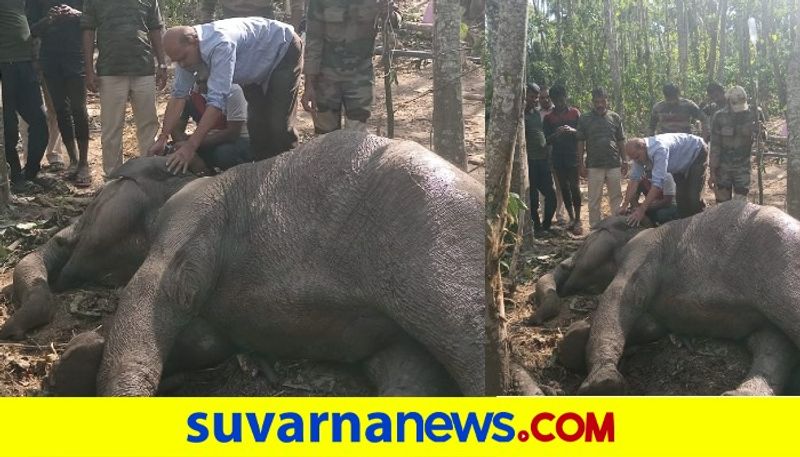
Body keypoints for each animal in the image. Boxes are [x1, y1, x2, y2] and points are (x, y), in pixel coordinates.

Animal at [1, 130, 482, 394]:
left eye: (100, 197)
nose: (11, 330)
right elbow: (207, 338)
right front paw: (79, 358)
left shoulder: (193, 213)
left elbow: (158, 292)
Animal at [544, 201, 800, 394]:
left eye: (588, 240)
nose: (562, 288)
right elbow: (651, 324)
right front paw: (575, 338)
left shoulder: (643, 249)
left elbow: (622, 294)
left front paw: (603, 385)